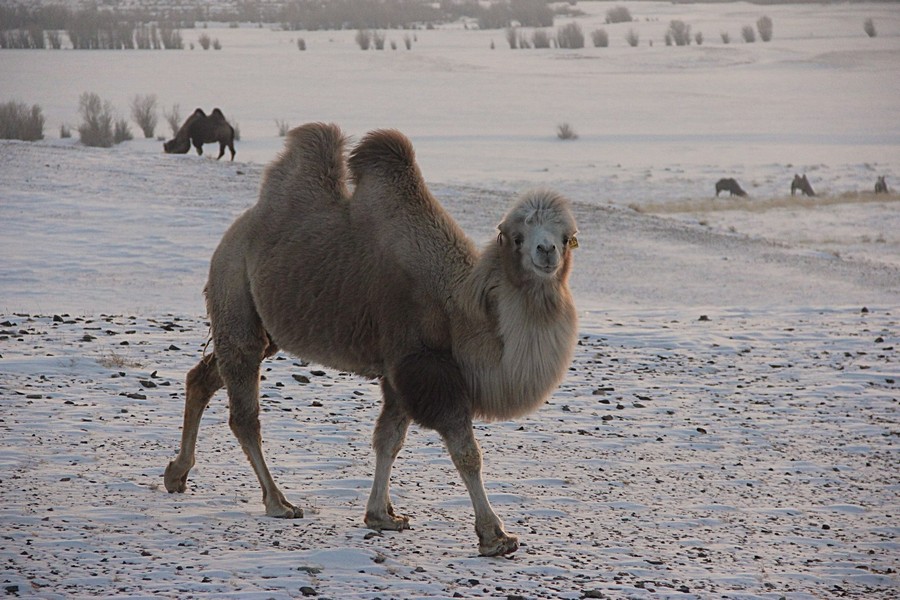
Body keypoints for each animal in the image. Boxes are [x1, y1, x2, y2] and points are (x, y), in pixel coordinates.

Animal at [164, 123, 580, 556]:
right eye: (517, 237)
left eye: (568, 237)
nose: (546, 251)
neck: (460, 310)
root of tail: (234, 232)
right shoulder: (425, 365)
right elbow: (466, 452)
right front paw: (495, 535)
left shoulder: (400, 371)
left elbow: (388, 440)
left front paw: (382, 516)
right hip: (234, 289)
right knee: (244, 411)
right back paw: (278, 502)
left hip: (265, 327)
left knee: (204, 376)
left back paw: (177, 474)